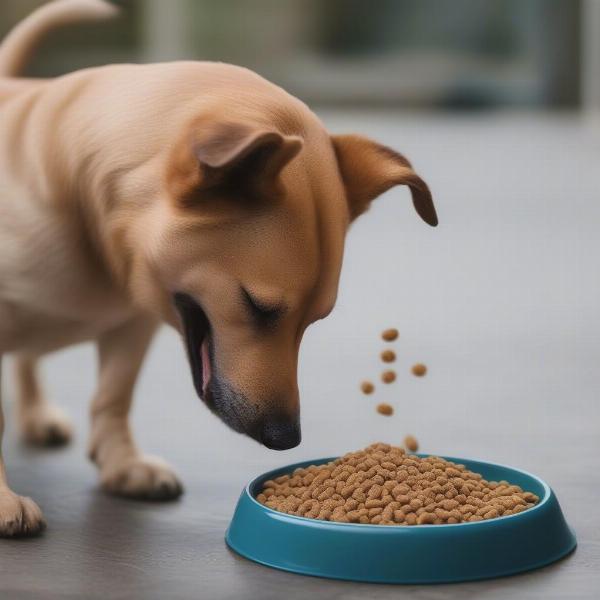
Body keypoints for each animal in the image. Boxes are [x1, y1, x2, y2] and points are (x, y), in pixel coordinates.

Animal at [0, 0, 436, 536]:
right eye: (257, 306)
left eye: (315, 320)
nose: (286, 438)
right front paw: (3, 499)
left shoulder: (133, 324)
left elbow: (113, 396)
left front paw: (122, 464)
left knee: (28, 361)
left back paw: (36, 412)